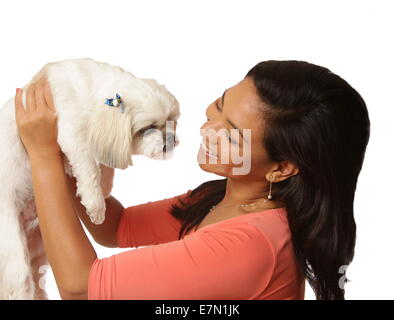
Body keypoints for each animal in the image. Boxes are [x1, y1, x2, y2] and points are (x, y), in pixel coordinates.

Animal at [0, 56, 181, 298]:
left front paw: (103, 188)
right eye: (147, 128)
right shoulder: (72, 132)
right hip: (12, 251)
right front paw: (96, 205)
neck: (88, 92)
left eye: (172, 121)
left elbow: (104, 166)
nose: (170, 139)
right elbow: (89, 167)